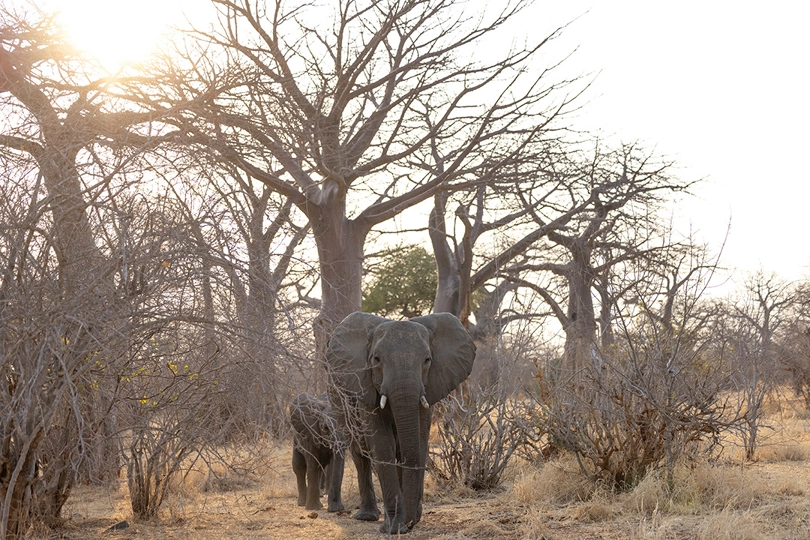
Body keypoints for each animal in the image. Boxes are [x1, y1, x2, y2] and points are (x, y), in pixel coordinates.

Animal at [324, 310, 474, 532]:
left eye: (427, 360)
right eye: (376, 359)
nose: (410, 523)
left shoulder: (429, 388)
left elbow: (417, 442)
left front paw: (408, 521)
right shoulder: (365, 388)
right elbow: (382, 444)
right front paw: (393, 527)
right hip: (338, 399)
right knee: (360, 452)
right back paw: (368, 516)